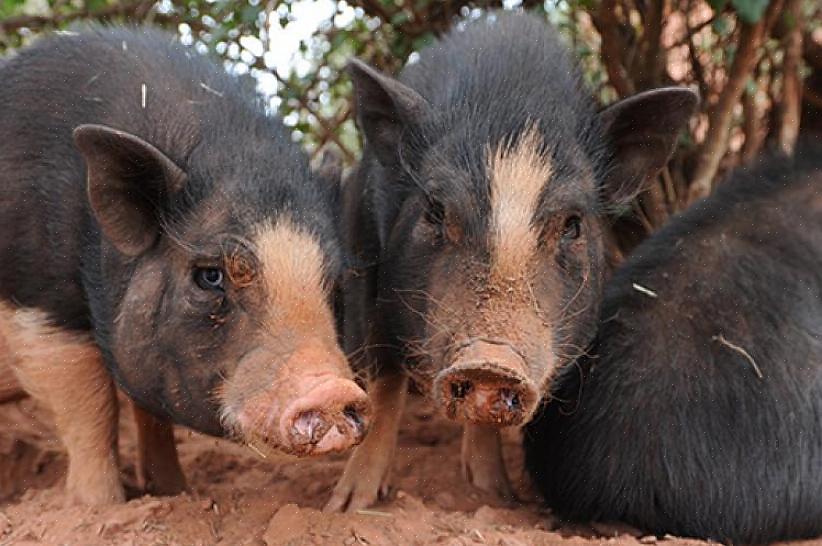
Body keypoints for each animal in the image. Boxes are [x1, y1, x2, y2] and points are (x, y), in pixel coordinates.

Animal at [0, 24, 370, 502]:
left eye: (336, 287)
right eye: (209, 276)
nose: (334, 390)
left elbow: (150, 414)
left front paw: (176, 493)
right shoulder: (41, 305)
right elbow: (91, 407)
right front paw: (101, 506)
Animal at [326, 9, 700, 510]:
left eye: (573, 225)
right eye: (435, 210)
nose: (490, 362)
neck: (510, 101)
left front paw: (496, 497)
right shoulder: (374, 276)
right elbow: (385, 383)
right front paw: (350, 506)